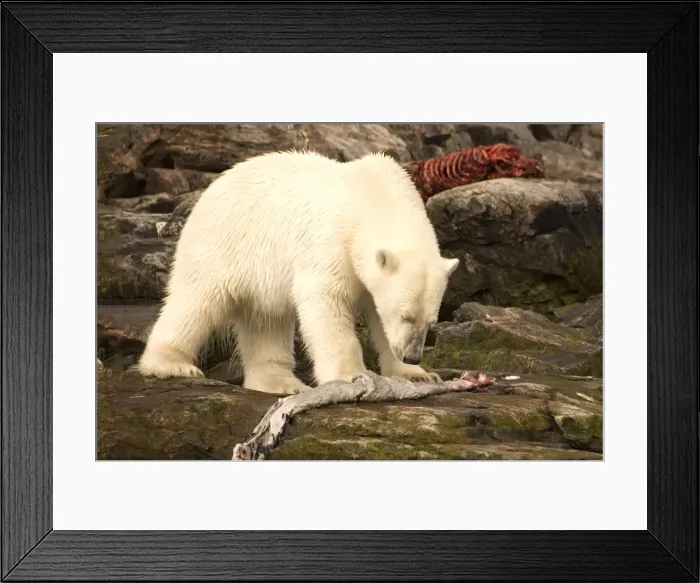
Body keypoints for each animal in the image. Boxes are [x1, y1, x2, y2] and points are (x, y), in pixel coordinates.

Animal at [138, 150, 459, 395]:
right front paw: (351, 375)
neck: (375, 196)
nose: (413, 355)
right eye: (405, 315)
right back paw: (171, 364)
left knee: (266, 319)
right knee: (197, 301)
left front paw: (417, 373)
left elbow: (377, 314)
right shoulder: (333, 240)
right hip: (223, 244)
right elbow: (325, 299)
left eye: (431, 321)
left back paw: (281, 383)